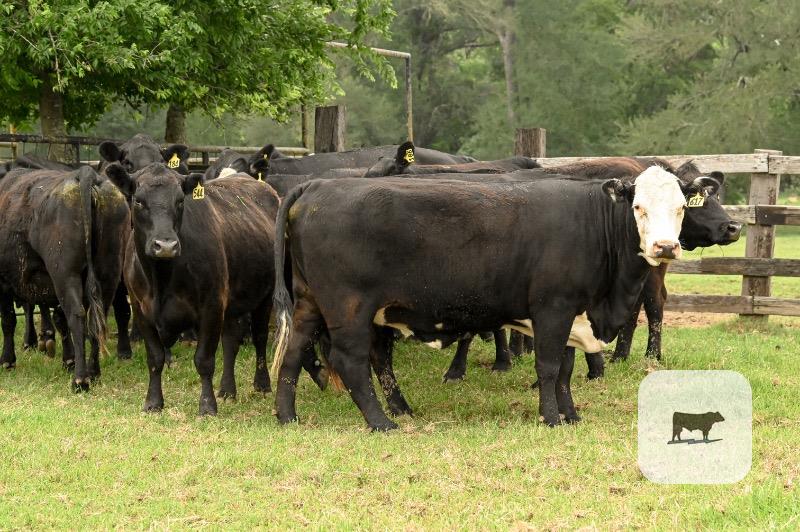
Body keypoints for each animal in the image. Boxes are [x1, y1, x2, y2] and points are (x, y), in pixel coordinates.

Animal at [0, 166, 129, 389]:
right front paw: (68, 360)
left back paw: (80, 380)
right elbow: (59, 320)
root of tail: (84, 173)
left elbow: (8, 320)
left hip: (66, 274)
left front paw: (7, 360)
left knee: (77, 316)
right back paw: (93, 372)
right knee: (95, 319)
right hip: (108, 272)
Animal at [105, 164, 326, 415]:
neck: (162, 279)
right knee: (230, 342)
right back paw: (227, 390)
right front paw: (153, 402)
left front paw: (207, 406)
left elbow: (204, 360)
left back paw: (261, 384)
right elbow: (155, 358)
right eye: (139, 201)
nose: (166, 245)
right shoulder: (141, 311)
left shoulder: (211, 307)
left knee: (259, 338)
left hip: (264, 297)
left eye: (180, 201)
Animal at [270, 167, 700, 430]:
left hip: (310, 302)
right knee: (352, 361)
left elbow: (564, 369)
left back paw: (289, 416)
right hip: (348, 307)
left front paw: (571, 415)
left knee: (293, 354)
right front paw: (550, 418)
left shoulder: (570, 311)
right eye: (638, 207)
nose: (665, 247)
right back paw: (381, 422)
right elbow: (548, 367)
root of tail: (317, 186)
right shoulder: (553, 308)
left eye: (681, 208)